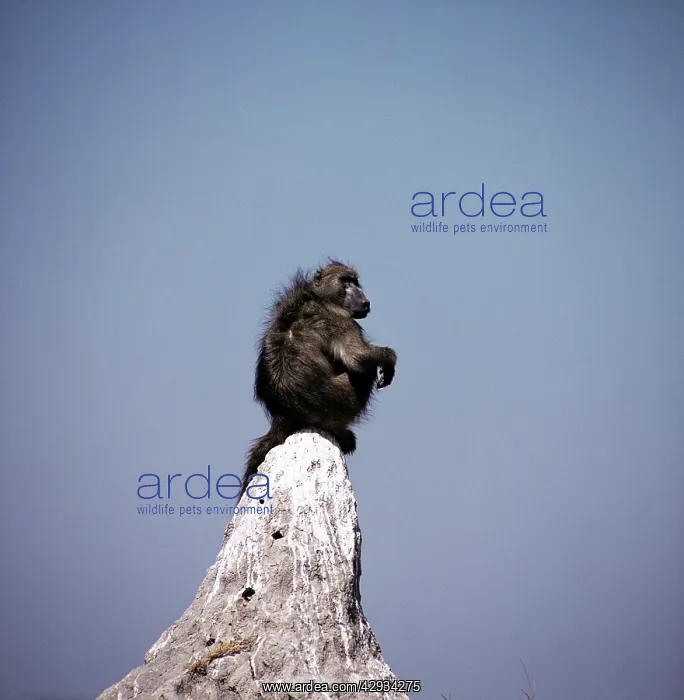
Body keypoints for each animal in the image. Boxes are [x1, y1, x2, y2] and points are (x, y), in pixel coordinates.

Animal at [239, 260, 397, 498]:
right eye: (346, 281)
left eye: (355, 281)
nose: (365, 301)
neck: (316, 296)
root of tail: (285, 416)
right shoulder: (338, 318)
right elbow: (357, 358)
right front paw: (389, 360)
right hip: (343, 401)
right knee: (364, 372)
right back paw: (342, 432)